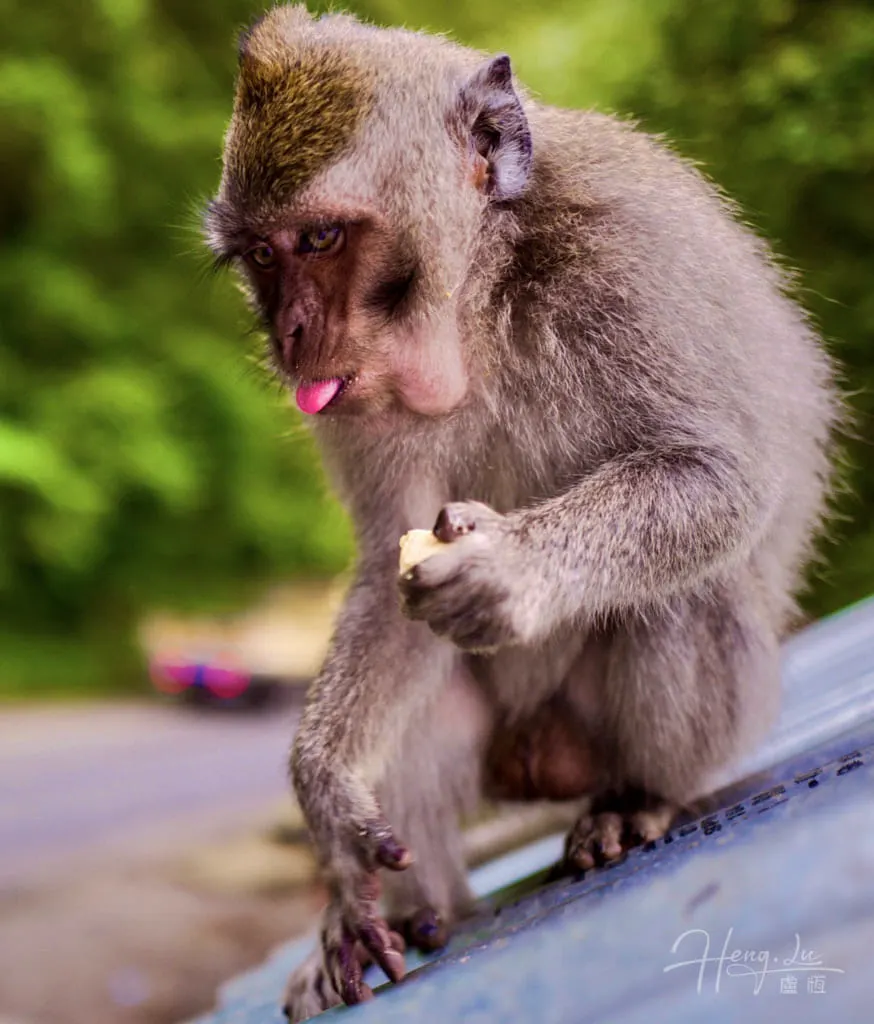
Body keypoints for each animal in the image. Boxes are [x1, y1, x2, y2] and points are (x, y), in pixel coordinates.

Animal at [203, 6, 840, 1020]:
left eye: (320, 239)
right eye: (263, 254)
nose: (290, 336)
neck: (480, 291)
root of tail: (539, 761)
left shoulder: (620, 257)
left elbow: (722, 477)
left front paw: (512, 568)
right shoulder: (358, 403)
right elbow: (389, 570)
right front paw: (325, 793)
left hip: (709, 718)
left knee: (684, 595)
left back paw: (635, 799)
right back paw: (415, 911)